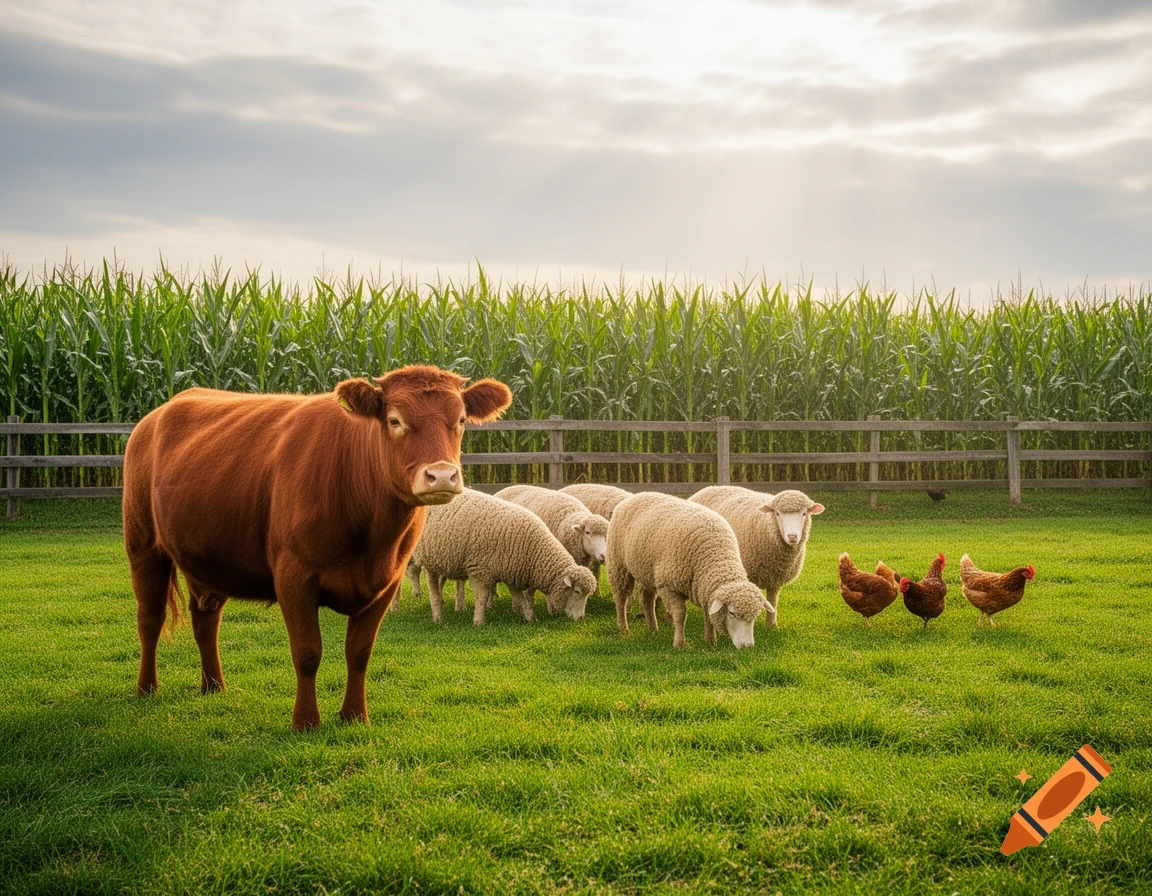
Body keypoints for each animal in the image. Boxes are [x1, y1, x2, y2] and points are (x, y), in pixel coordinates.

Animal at [122, 364, 513, 730]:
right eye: (394, 420)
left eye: (460, 420)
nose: (442, 475)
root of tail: (159, 412)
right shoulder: (294, 577)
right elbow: (307, 652)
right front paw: (306, 721)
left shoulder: (387, 582)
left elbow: (359, 652)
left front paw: (354, 715)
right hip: (143, 545)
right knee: (150, 618)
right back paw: (146, 688)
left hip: (207, 558)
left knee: (206, 617)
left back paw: (214, 686)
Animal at [405, 489, 597, 625]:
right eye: (577, 591)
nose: (581, 618)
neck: (534, 551)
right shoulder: (479, 570)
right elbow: (482, 598)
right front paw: (479, 622)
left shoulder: (513, 570)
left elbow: (520, 597)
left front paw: (529, 618)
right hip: (430, 558)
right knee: (432, 588)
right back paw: (437, 616)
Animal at [607, 492, 768, 649]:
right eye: (732, 612)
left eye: (755, 616)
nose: (748, 646)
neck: (716, 556)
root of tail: (633, 497)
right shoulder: (669, 586)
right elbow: (680, 616)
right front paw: (679, 643)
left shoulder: (705, 587)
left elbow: (708, 616)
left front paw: (710, 640)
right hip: (618, 565)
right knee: (620, 598)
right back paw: (624, 628)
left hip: (647, 571)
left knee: (647, 599)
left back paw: (653, 629)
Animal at [688, 486, 824, 628]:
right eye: (777, 514)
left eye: (804, 513)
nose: (792, 536)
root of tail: (708, 488)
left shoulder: (776, 578)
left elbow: (773, 601)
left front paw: (771, 625)